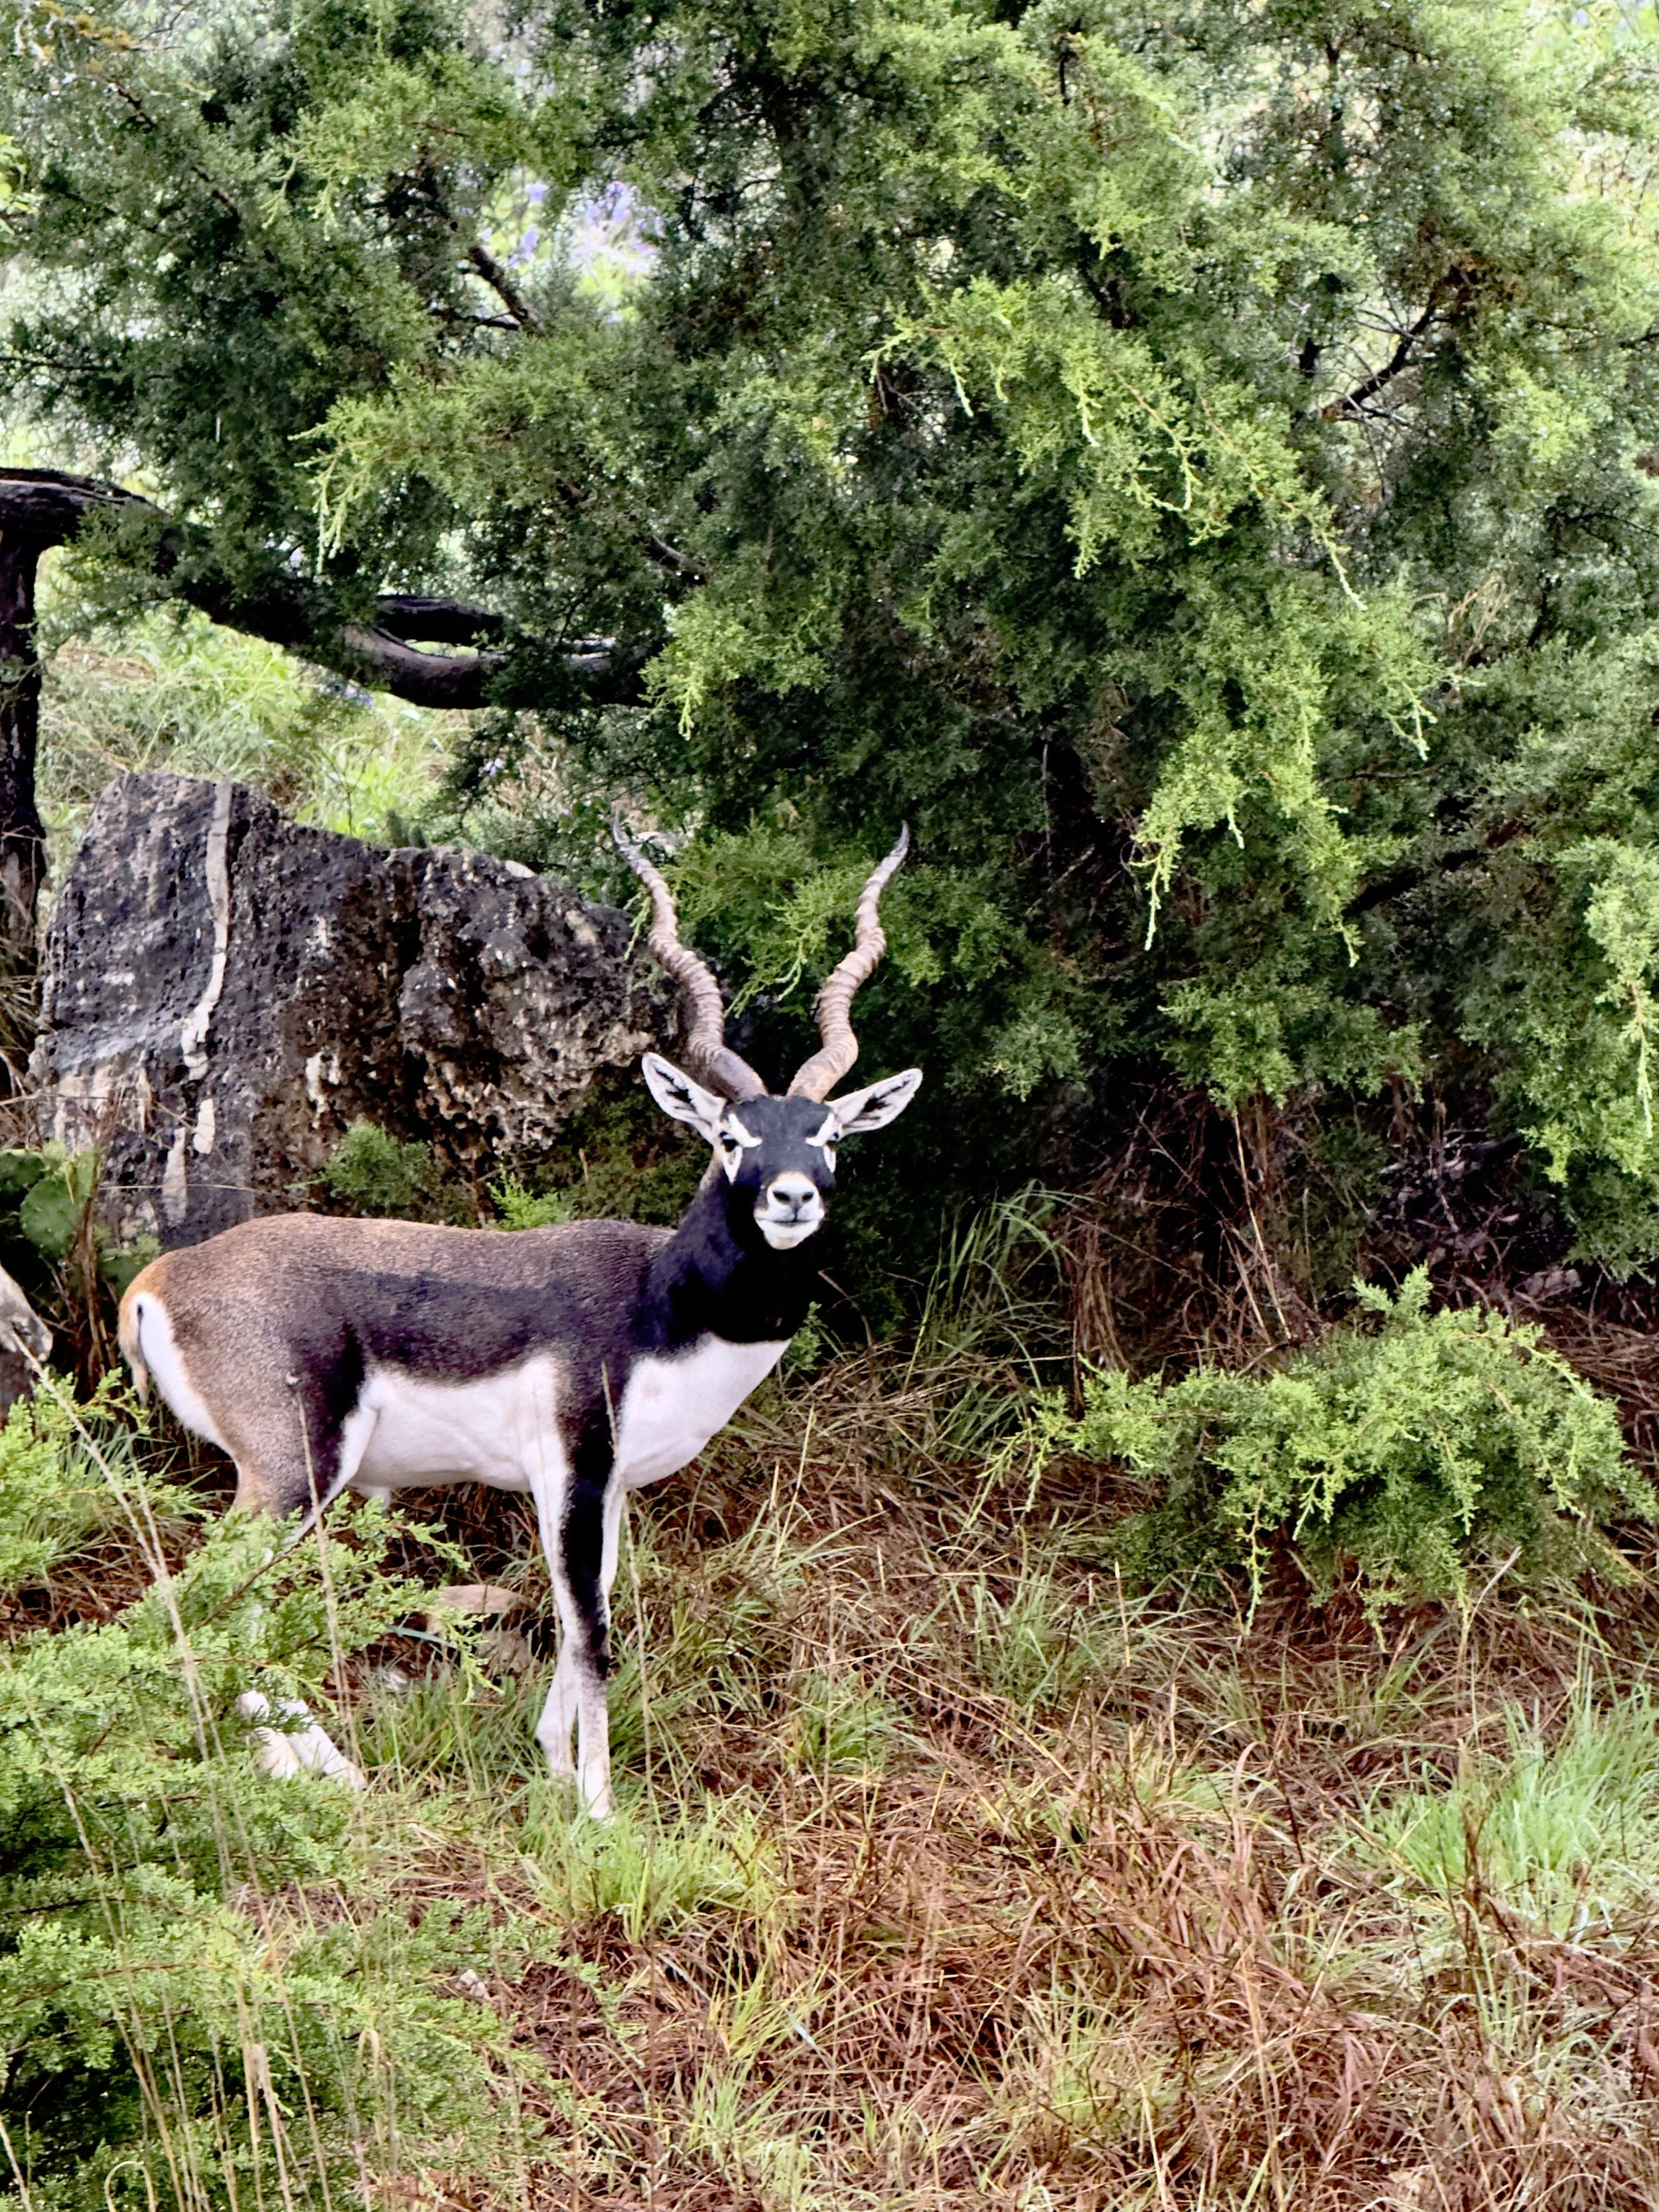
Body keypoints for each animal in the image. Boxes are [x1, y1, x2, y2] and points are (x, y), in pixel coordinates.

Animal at [118, 820, 920, 1815]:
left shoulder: (608, 1489)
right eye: (730, 1135)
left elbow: (586, 1619)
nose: (792, 1197)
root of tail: (160, 1277)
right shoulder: (571, 1469)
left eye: (831, 1134)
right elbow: (593, 1634)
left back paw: (322, 1768)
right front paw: (601, 1813)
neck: (660, 1298)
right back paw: (303, 1771)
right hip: (292, 1474)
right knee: (201, 1596)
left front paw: (554, 1764)